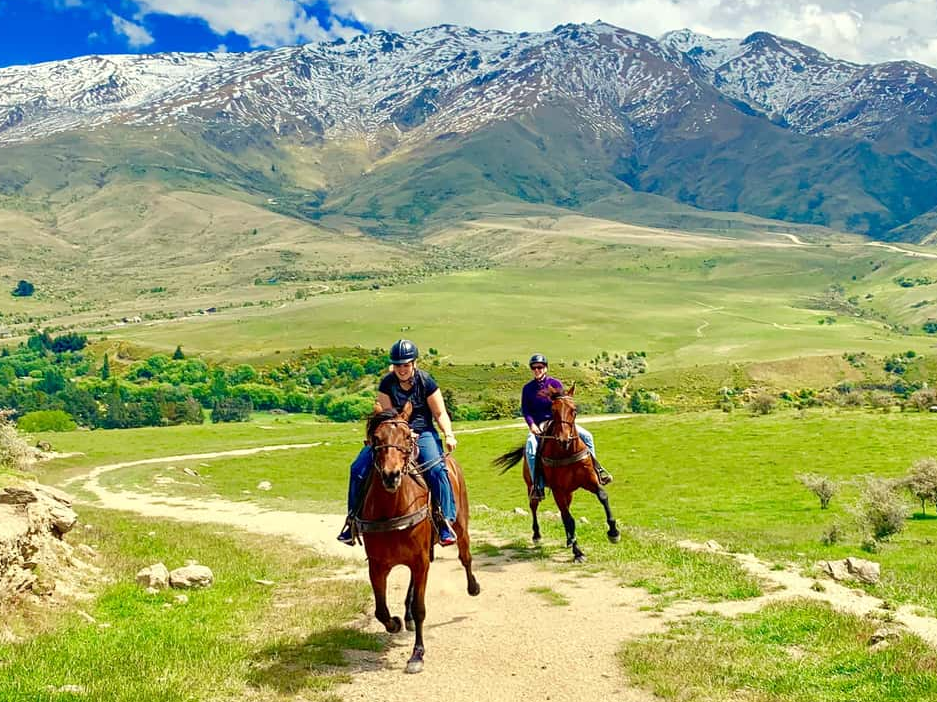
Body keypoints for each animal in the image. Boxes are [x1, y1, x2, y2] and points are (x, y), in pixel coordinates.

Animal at [355, 403, 480, 674]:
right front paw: (395, 623)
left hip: (461, 526)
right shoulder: (377, 565)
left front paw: (417, 655)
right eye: (376, 438)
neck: (392, 509)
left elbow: (421, 608)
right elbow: (380, 610)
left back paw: (473, 586)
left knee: (465, 557)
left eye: (406, 437)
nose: (391, 475)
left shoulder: (420, 561)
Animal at [494, 385, 620, 562]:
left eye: (574, 410)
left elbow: (602, 496)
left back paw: (568, 539)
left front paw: (613, 533)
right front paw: (578, 552)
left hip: (569, 492)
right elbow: (569, 518)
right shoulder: (558, 490)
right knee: (534, 507)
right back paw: (537, 536)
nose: (563, 439)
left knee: (563, 510)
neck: (567, 452)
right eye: (553, 410)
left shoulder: (590, 481)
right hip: (533, 487)